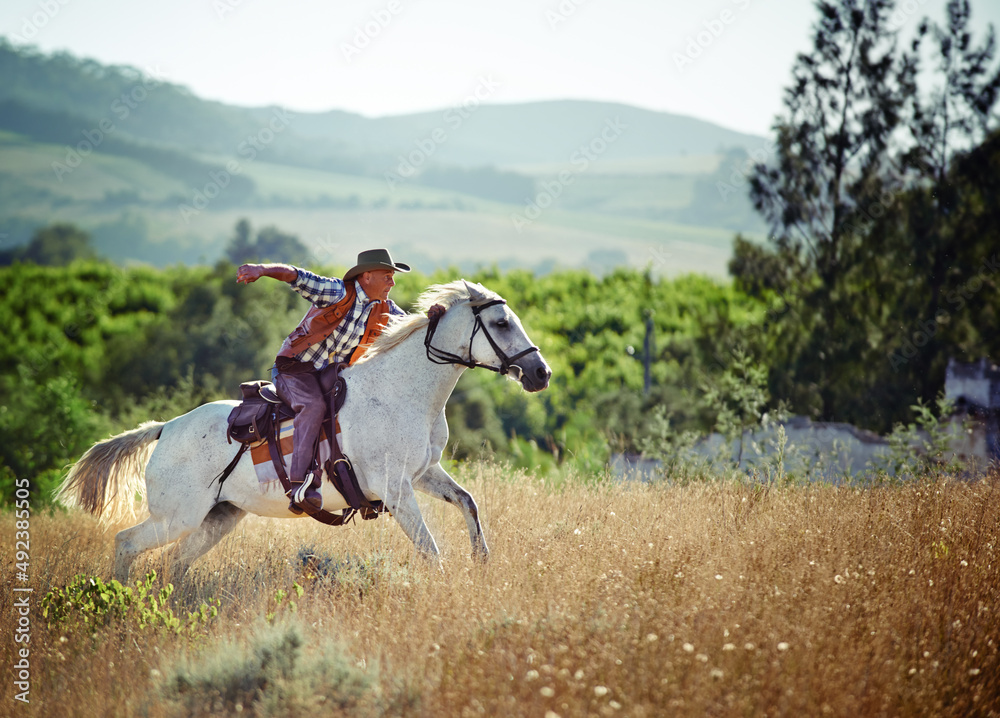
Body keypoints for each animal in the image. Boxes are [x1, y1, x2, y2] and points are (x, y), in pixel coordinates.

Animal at [57, 282, 552, 584]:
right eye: (502, 323)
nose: (540, 373)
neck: (401, 391)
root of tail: (165, 429)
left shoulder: (424, 473)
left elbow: (468, 503)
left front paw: (482, 561)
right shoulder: (396, 489)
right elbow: (430, 549)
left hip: (218, 517)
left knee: (174, 564)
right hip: (177, 517)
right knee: (126, 543)